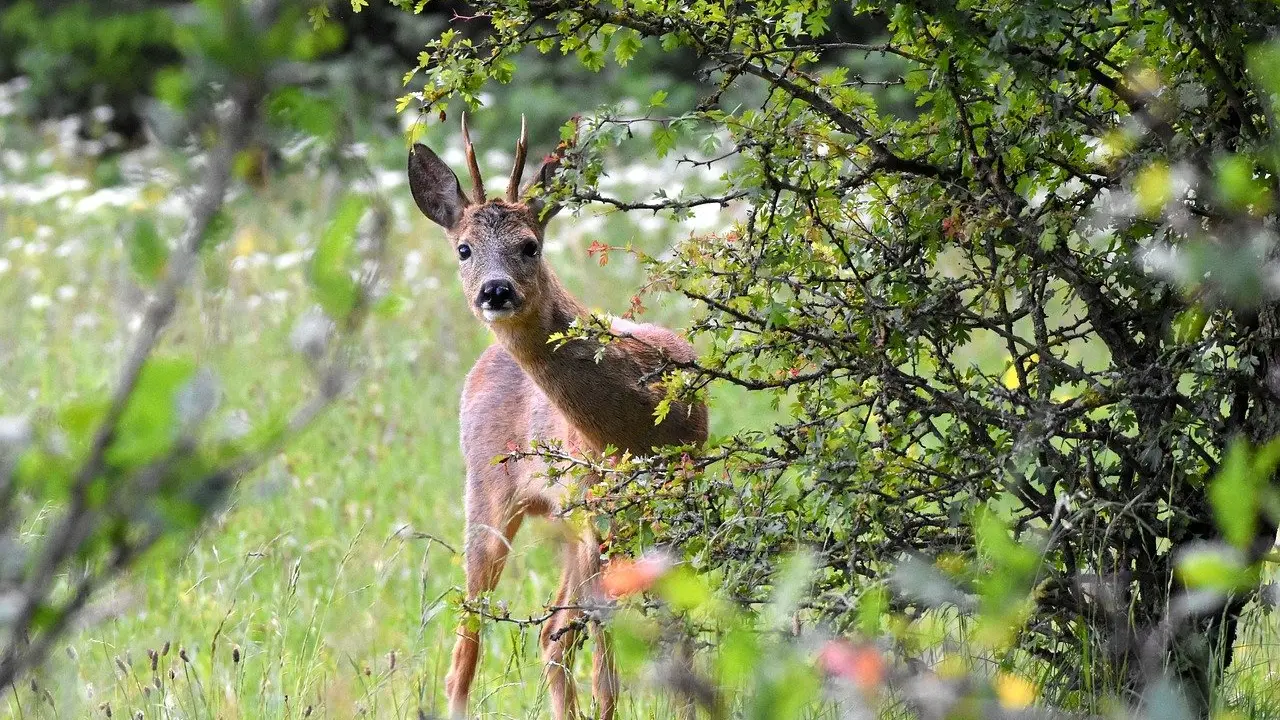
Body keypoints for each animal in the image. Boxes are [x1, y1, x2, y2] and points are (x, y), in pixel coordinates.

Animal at [407, 114, 711, 712]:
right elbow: (605, 659)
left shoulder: (674, 496)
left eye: (529, 245)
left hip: (571, 520)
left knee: (553, 635)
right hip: (490, 494)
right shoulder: (598, 509)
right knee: (470, 650)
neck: (638, 422)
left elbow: (677, 636)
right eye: (464, 249)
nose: (495, 290)